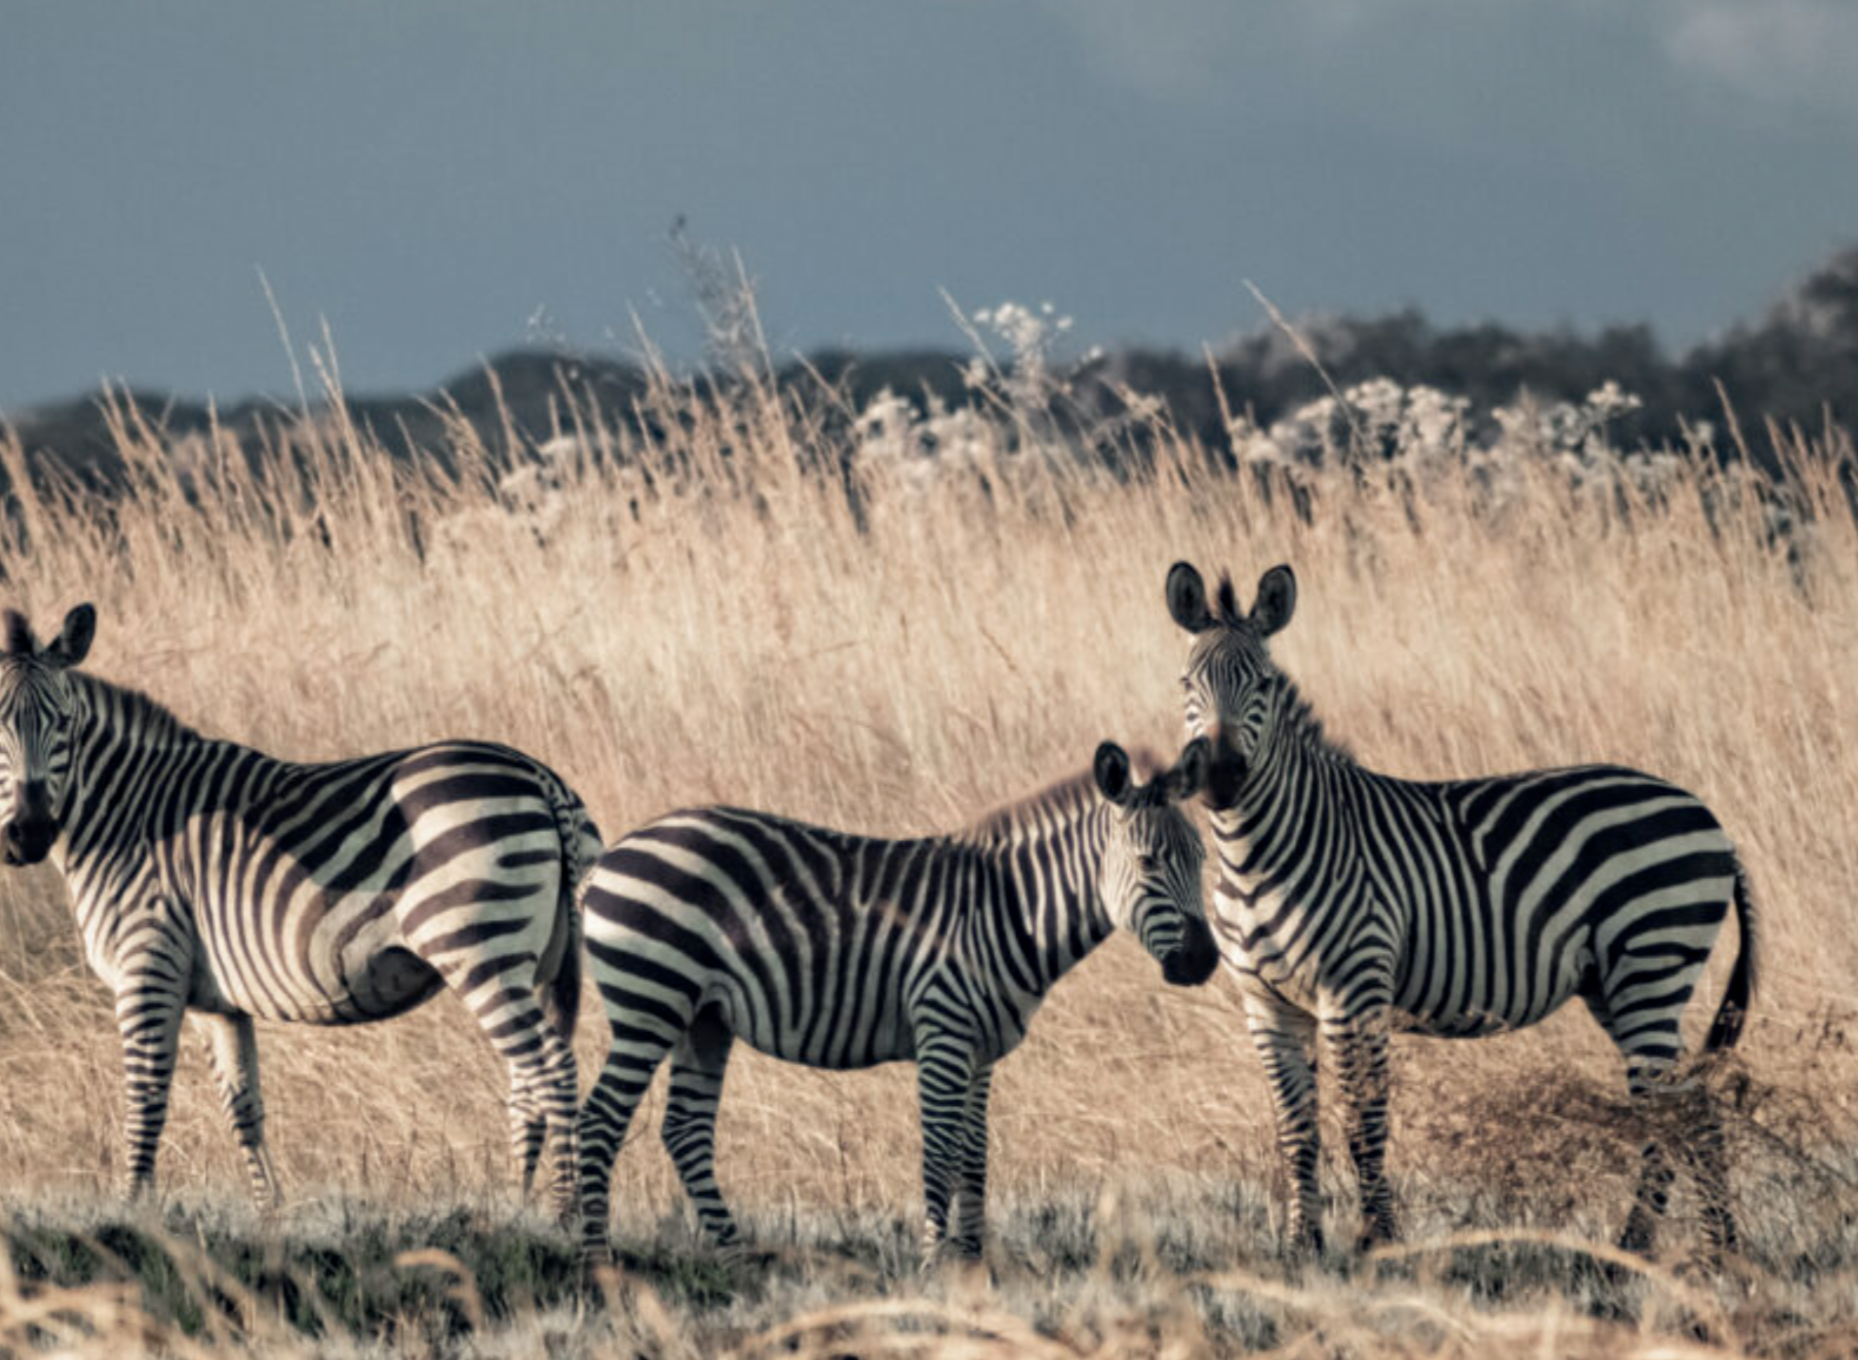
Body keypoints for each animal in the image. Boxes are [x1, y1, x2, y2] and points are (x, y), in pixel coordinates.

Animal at [0, 605, 601, 1211]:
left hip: (478, 950)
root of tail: (542, 778)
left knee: (550, 1072)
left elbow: (145, 1101)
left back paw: (560, 1213)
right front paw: (271, 1213)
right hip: (539, 964)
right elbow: (243, 1108)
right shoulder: (216, 999)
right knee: (529, 1084)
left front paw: (134, 1209)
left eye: (65, 723)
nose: (29, 833)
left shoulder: (147, 964)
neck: (126, 813)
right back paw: (523, 1204)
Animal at [579, 743, 1218, 1263]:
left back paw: (737, 1258)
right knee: (601, 1119)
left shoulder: (981, 1050)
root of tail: (615, 851)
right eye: (1148, 862)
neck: (1009, 910)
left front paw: (973, 1261)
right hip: (651, 1003)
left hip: (704, 1019)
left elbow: (974, 1154)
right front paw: (934, 1263)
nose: (1204, 962)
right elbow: (938, 1150)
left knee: (685, 1130)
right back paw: (598, 1263)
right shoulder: (942, 1031)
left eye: (1202, 859)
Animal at [1159, 564, 1753, 1263]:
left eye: (1265, 684)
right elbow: (1297, 1132)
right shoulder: (1268, 1007)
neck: (1256, 855)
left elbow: (1364, 1124)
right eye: (1186, 683)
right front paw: (1303, 1247)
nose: (1222, 777)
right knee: (1694, 1105)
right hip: (1616, 984)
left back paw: (1632, 1249)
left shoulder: (1354, 992)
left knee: (1666, 1108)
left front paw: (1379, 1243)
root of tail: (1709, 816)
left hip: (1651, 964)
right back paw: (1720, 1251)